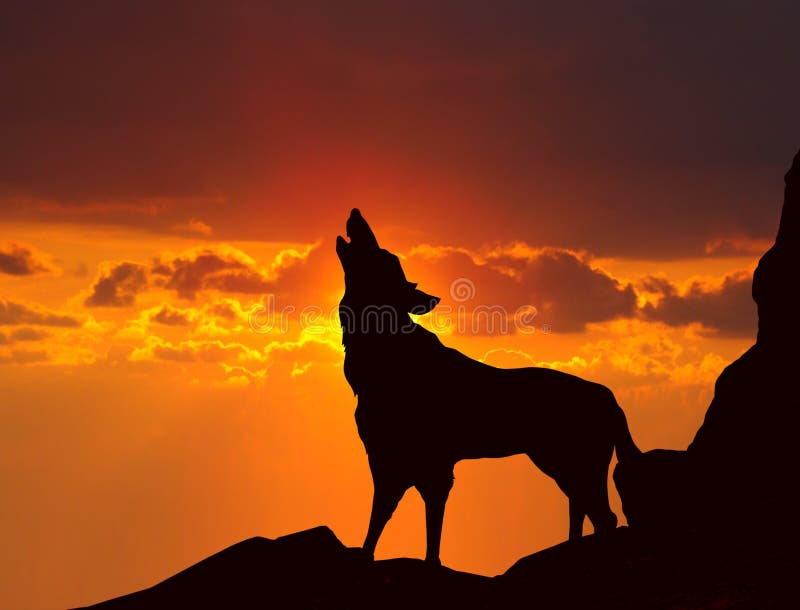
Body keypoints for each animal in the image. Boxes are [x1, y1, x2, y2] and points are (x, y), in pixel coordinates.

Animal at [336, 209, 640, 565]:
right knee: (588, 513)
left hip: (572, 463)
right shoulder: (389, 459)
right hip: (562, 465)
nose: (356, 213)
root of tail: (613, 401)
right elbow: (382, 521)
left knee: (605, 517)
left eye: (384, 256)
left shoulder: (428, 465)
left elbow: (422, 528)